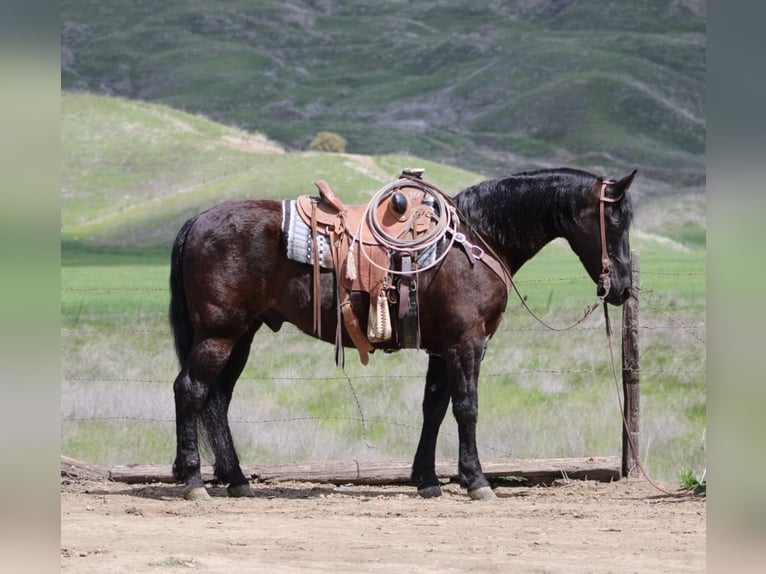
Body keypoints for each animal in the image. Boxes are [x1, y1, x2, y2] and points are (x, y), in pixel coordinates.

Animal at [169, 167, 636, 501]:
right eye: (616, 223)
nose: (622, 287)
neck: (476, 239)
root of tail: (195, 222)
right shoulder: (466, 343)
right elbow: (466, 407)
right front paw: (476, 480)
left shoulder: (442, 348)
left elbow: (434, 408)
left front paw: (427, 479)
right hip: (219, 333)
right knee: (191, 390)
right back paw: (194, 481)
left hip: (241, 336)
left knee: (217, 400)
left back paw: (235, 478)